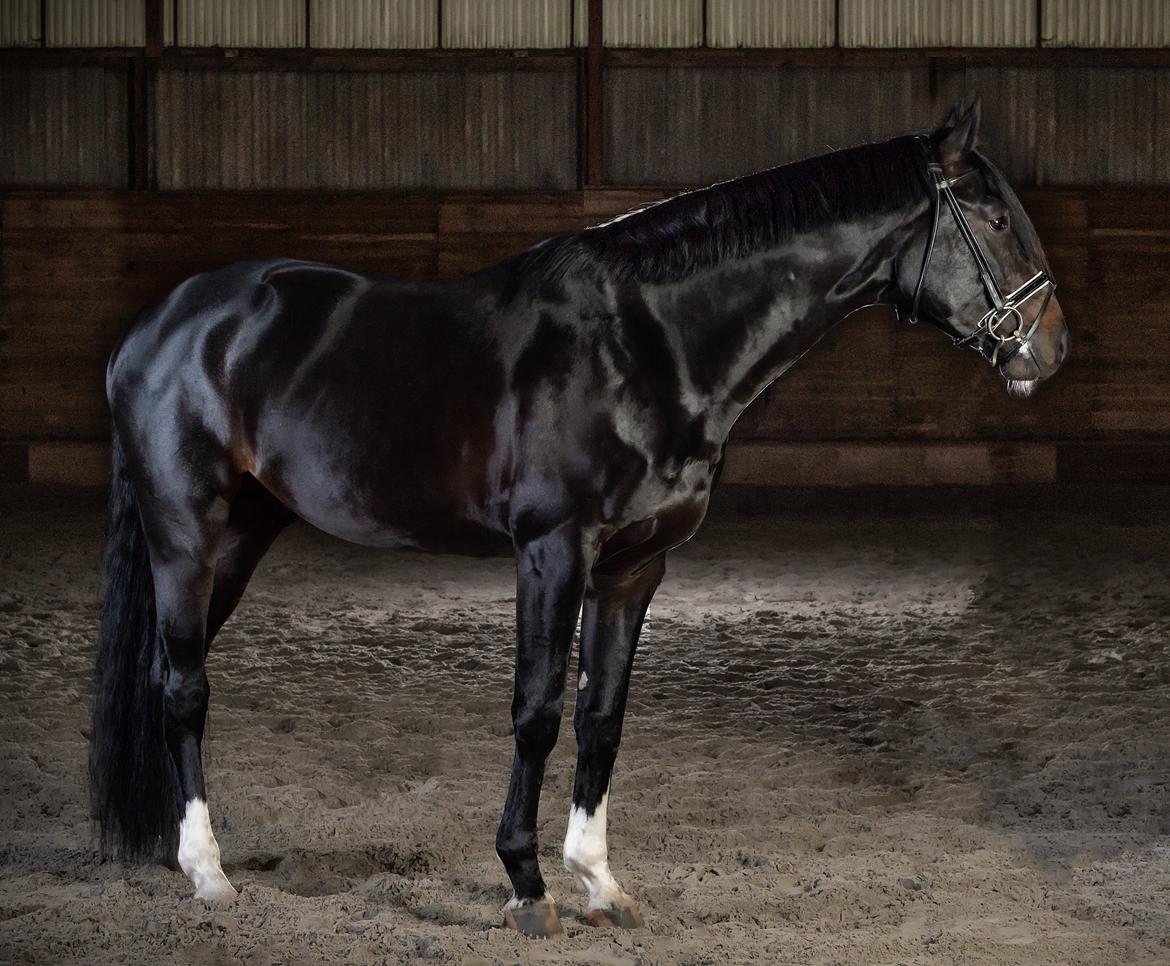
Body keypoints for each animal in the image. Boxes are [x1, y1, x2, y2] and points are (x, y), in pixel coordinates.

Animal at [91, 103, 1067, 935]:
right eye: (996, 221)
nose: (1051, 349)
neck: (646, 344)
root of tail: (159, 324)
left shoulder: (635, 566)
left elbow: (603, 716)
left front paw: (599, 882)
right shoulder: (552, 551)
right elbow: (539, 712)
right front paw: (526, 887)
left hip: (245, 533)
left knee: (167, 674)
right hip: (186, 533)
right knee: (184, 688)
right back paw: (208, 872)